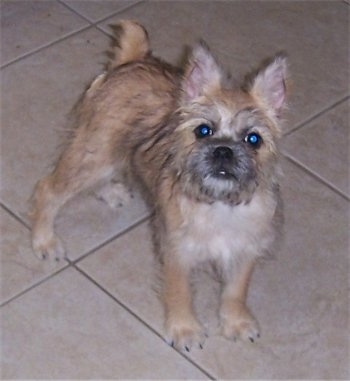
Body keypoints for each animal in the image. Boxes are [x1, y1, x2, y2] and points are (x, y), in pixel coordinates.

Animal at [30, 20, 288, 352]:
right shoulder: (176, 250)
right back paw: (44, 241)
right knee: (47, 189)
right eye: (203, 131)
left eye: (253, 139)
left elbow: (236, 290)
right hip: (94, 155)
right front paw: (185, 329)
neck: (219, 203)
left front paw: (236, 322)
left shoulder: (246, 248)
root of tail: (134, 58)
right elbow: (180, 291)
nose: (223, 151)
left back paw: (110, 192)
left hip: (105, 155)